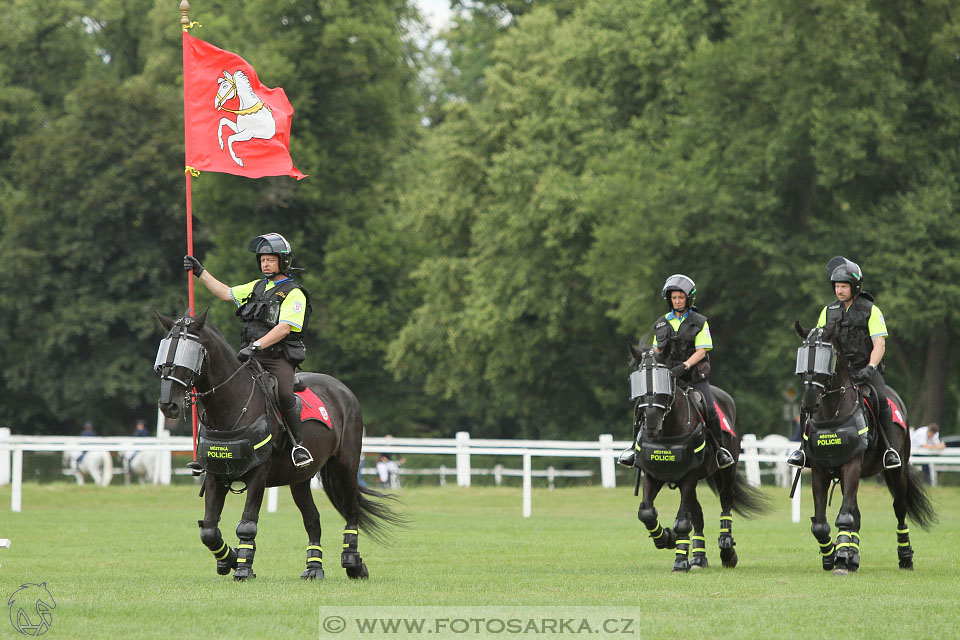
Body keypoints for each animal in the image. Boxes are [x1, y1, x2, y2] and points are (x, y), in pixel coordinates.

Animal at [156, 312, 404, 584]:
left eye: (190, 352)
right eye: (164, 351)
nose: (168, 404)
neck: (232, 405)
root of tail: (343, 390)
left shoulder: (258, 474)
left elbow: (247, 523)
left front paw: (243, 568)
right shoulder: (215, 474)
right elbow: (209, 530)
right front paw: (229, 559)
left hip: (345, 467)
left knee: (351, 509)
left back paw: (353, 563)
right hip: (300, 479)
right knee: (312, 519)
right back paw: (314, 568)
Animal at [632, 348, 764, 572]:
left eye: (665, 380)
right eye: (637, 382)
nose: (651, 424)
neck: (668, 433)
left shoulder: (689, 478)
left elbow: (682, 521)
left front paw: (679, 560)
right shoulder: (653, 475)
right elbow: (647, 513)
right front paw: (666, 538)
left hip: (727, 470)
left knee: (726, 500)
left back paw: (727, 551)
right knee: (698, 515)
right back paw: (699, 558)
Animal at [796, 324, 936, 576]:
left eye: (828, 355)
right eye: (804, 355)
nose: (809, 401)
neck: (832, 413)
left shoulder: (852, 466)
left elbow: (845, 516)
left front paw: (840, 558)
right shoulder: (821, 470)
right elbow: (821, 523)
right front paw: (831, 555)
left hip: (896, 473)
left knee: (899, 509)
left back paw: (905, 557)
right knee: (857, 514)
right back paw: (852, 556)